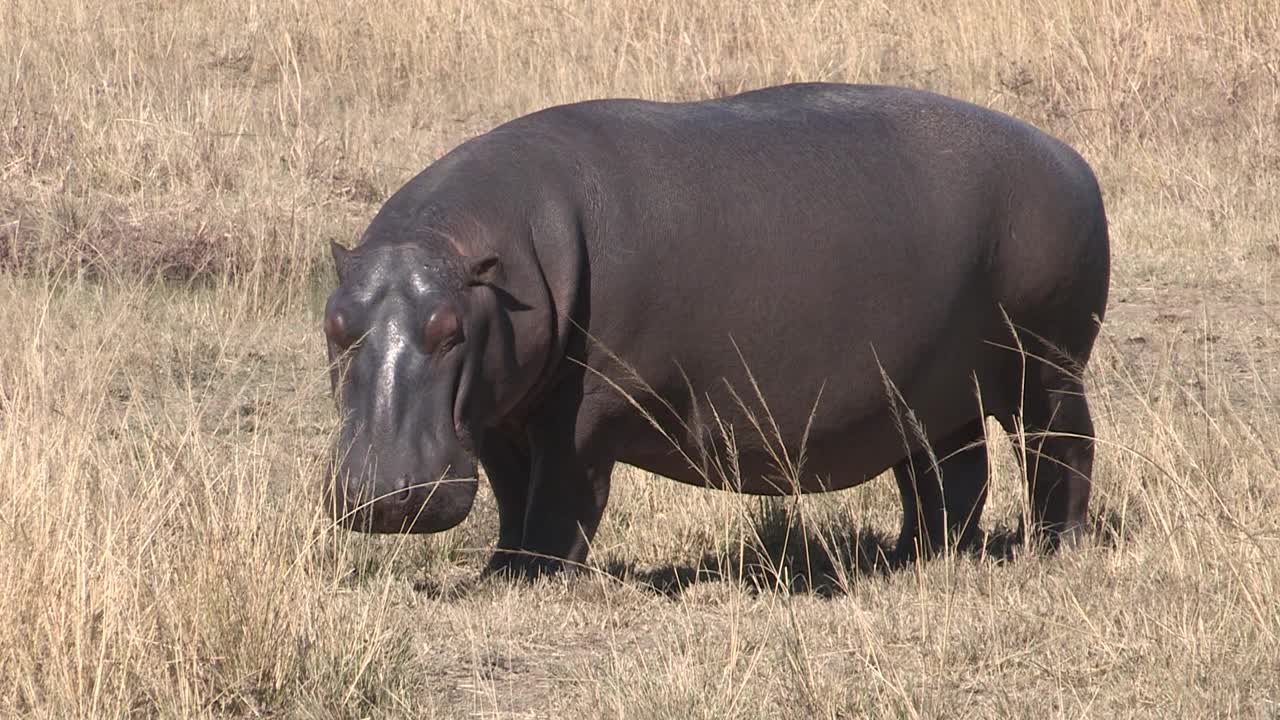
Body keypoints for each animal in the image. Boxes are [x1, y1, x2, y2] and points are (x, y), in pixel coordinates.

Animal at [322, 81, 1111, 573]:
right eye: (334, 324)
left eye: (450, 329)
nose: (381, 494)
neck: (486, 263)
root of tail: (1070, 159)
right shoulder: (496, 416)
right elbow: (515, 496)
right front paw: (500, 569)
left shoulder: (583, 416)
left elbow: (559, 499)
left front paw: (531, 577)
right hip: (931, 387)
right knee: (950, 474)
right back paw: (915, 557)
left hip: (1046, 365)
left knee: (1059, 451)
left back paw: (1052, 548)